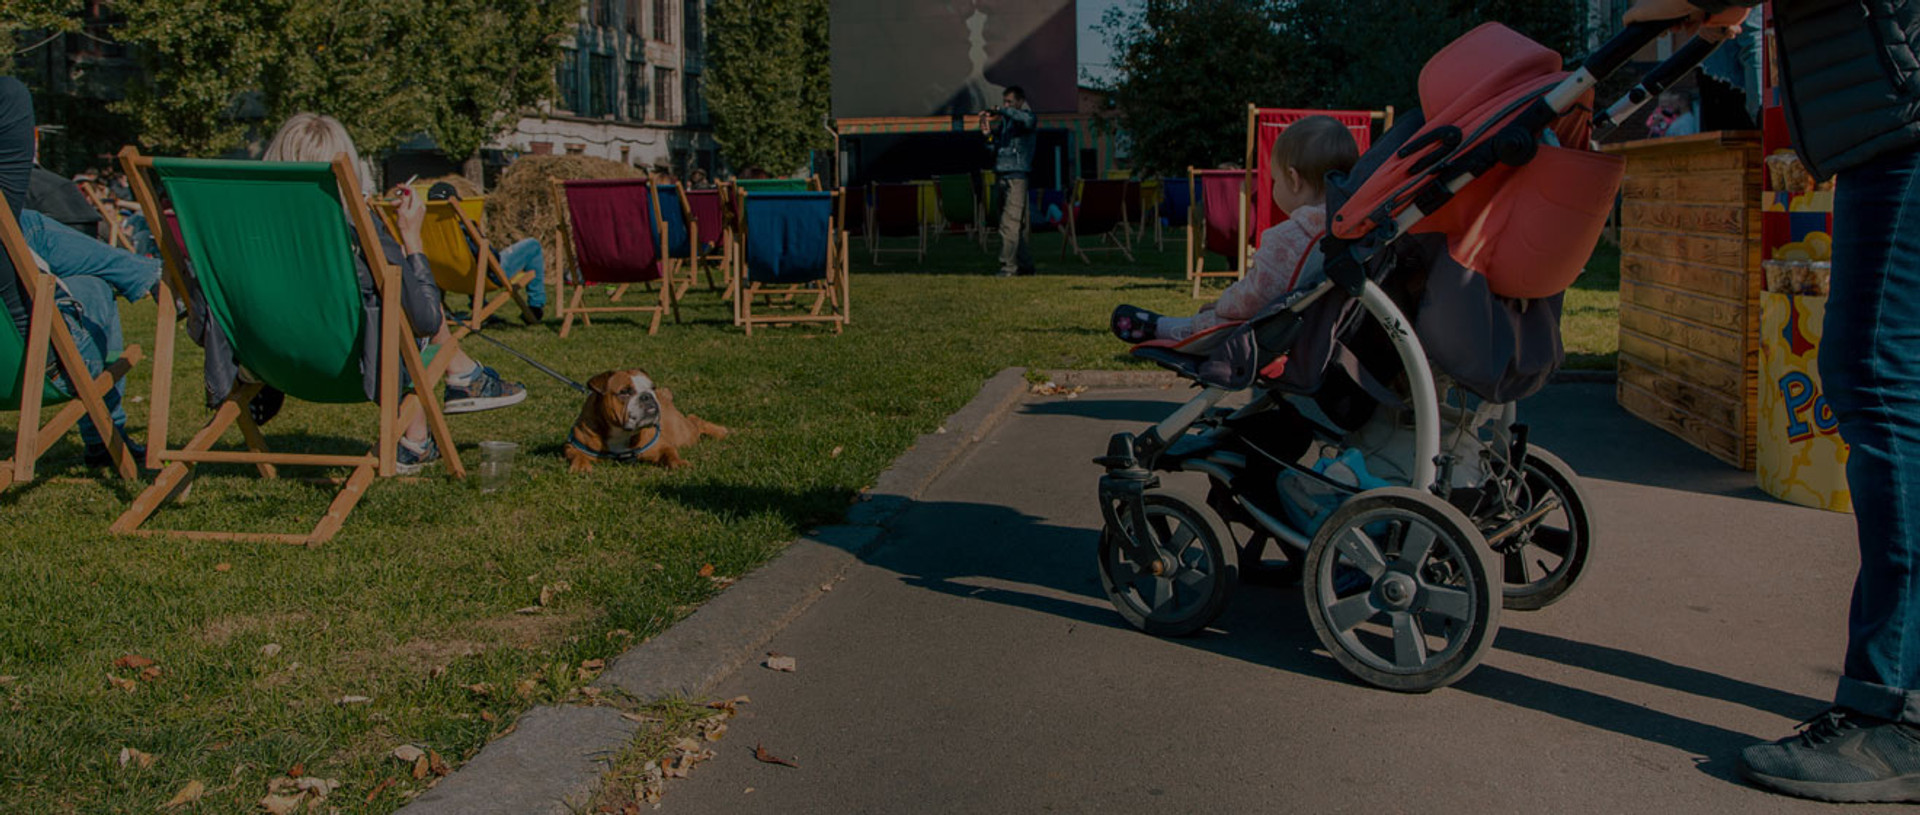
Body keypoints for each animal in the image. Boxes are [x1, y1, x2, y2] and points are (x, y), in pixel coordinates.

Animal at [564, 369, 729, 470]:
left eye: (652, 388)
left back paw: (721, 432)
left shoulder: (661, 446)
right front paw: (581, 465)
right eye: (625, 392)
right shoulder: (572, 446)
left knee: (695, 421)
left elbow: (671, 454)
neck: (621, 433)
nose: (647, 395)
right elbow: (576, 455)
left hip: (683, 434)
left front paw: (679, 463)